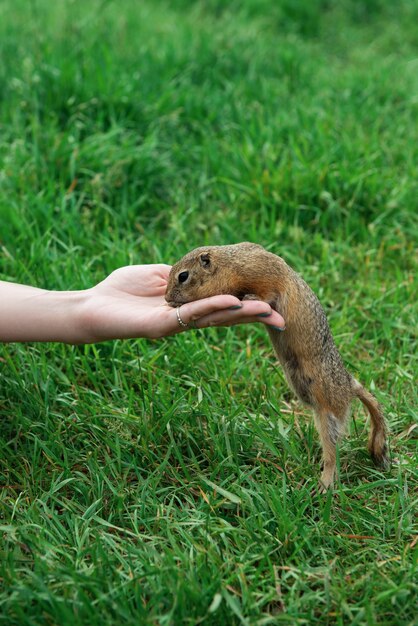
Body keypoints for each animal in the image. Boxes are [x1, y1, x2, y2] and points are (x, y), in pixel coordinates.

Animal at [164, 241, 388, 490]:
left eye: (183, 276)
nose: (167, 298)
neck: (229, 265)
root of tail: (349, 383)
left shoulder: (266, 275)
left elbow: (268, 293)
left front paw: (251, 297)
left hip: (329, 412)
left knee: (333, 450)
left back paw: (325, 483)